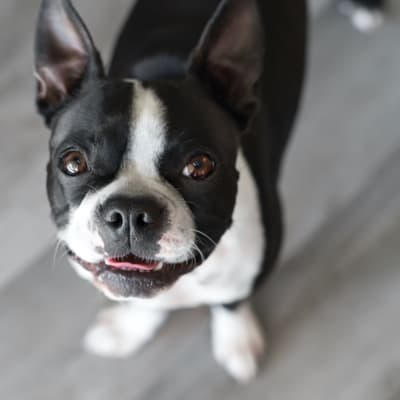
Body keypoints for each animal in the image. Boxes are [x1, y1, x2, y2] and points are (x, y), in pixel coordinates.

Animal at [35, 0, 306, 382]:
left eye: (200, 166)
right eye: (73, 163)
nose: (130, 212)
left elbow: (230, 300)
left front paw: (235, 338)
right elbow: (146, 302)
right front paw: (128, 330)